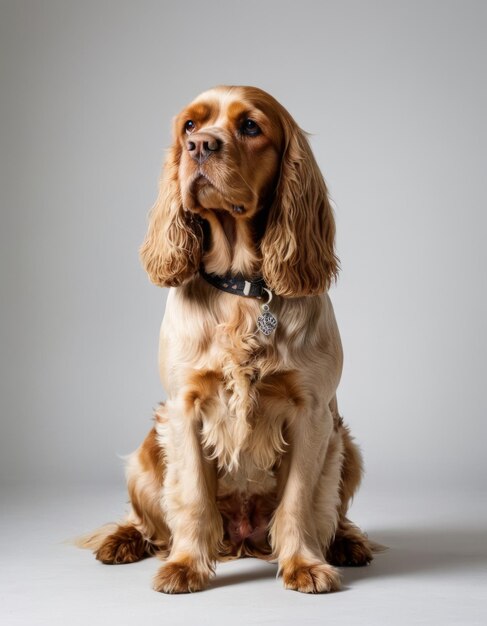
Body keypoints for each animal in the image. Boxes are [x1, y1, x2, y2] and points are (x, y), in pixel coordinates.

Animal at [79, 85, 374, 592]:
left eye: (251, 126)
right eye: (189, 126)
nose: (199, 146)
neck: (243, 288)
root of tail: (241, 539)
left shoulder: (313, 413)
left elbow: (299, 500)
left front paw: (303, 563)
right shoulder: (184, 407)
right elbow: (194, 496)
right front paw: (184, 565)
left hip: (345, 445)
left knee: (332, 513)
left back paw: (346, 543)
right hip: (145, 454)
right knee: (150, 522)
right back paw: (123, 541)